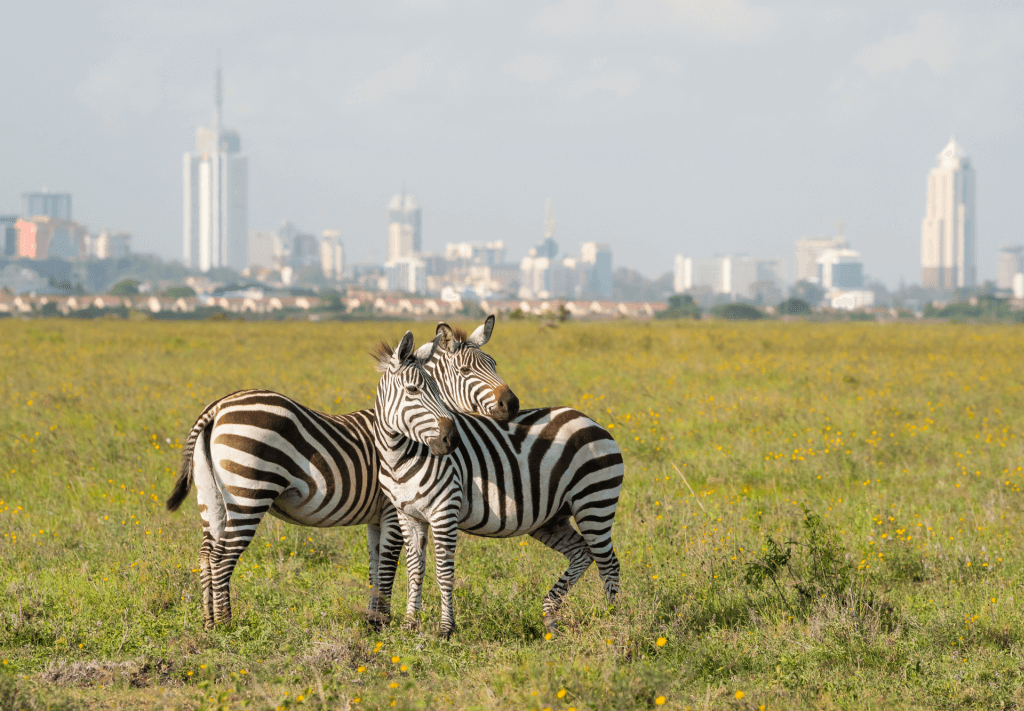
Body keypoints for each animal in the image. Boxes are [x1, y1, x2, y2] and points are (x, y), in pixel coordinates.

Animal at [374, 333, 622, 639]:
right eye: (412, 390)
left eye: (437, 391)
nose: (451, 439)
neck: (399, 457)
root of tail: (590, 420)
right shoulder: (408, 515)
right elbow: (414, 570)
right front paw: (410, 625)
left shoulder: (444, 512)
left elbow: (444, 572)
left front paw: (445, 629)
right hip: (552, 518)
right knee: (582, 553)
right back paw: (551, 615)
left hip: (595, 501)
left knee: (608, 563)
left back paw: (613, 621)